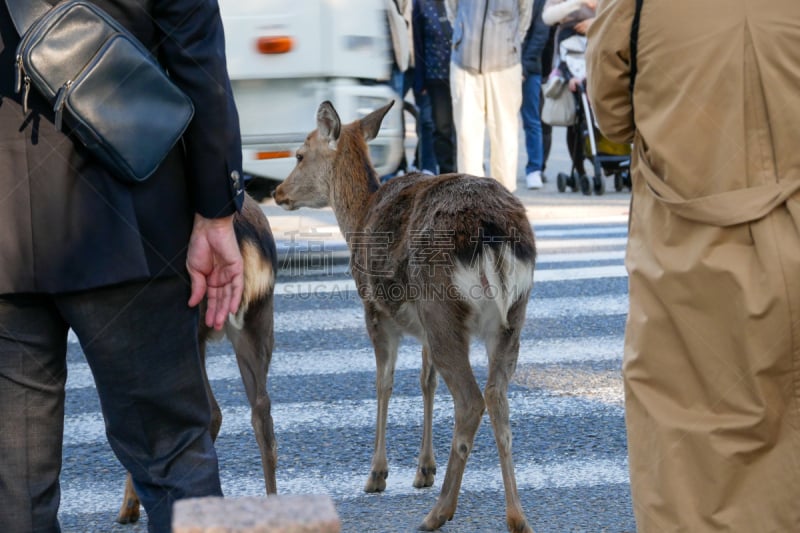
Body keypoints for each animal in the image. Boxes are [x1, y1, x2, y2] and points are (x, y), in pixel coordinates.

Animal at [274, 101, 536, 532]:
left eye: (299, 154)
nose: (277, 192)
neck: (358, 217)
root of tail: (491, 233)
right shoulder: (424, 327)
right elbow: (426, 381)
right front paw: (423, 469)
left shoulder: (375, 310)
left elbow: (384, 383)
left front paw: (376, 474)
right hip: (510, 317)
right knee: (497, 396)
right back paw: (516, 516)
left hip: (441, 304)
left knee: (471, 400)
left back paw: (439, 512)